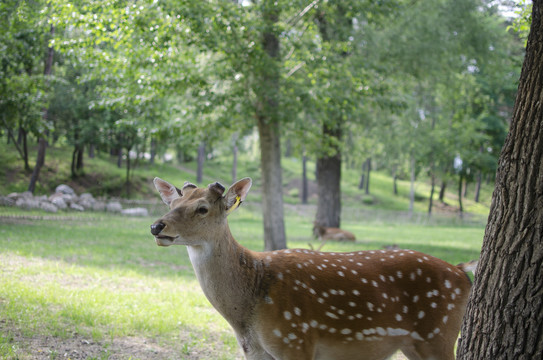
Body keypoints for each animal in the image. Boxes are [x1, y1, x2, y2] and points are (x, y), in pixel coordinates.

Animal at [150, 178, 476, 360]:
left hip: (439, 333)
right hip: (414, 344)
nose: (156, 226)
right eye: (172, 203)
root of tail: (461, 272)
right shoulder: (256, 353)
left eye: (202, 208)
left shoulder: (296, 341)